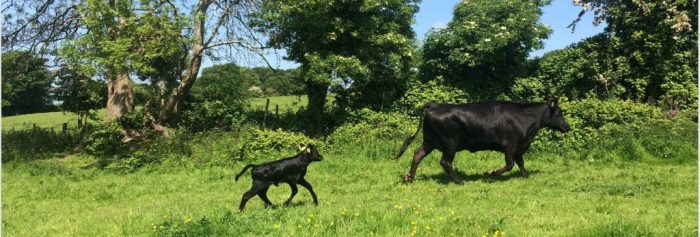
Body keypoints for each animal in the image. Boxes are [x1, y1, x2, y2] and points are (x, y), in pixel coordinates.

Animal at [394, 98, 568, 185]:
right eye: (559, 113)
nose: (567, 127)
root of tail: (434, 105)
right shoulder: (510, 144)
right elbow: (510, 164)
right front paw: (490, 173)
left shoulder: (519, 145)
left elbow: (520, 162)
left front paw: (525, 176)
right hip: (450, 144)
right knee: (445, 162)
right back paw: (459, 181)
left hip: (430, 141)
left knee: (418, 154)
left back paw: (408, 177)